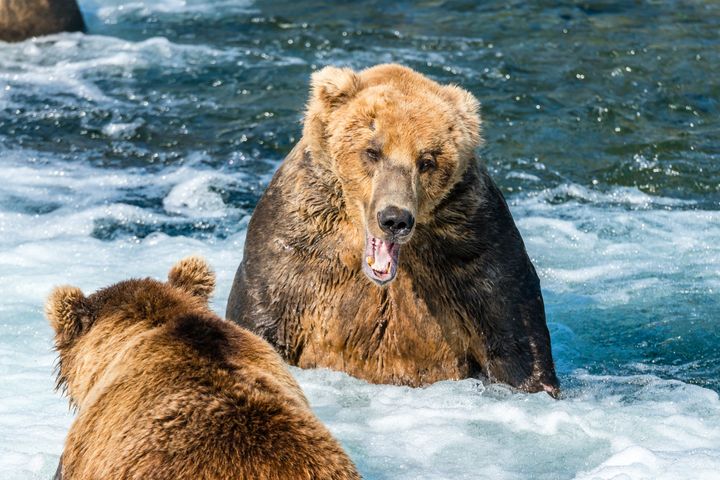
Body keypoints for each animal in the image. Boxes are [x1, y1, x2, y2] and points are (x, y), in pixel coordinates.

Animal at [228, 62, 560, 394]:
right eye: (372, 151)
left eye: (427, 160)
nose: (394, 219)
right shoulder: (299, 245)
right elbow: (264, 314)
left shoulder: (471, 240)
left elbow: (515, 334)